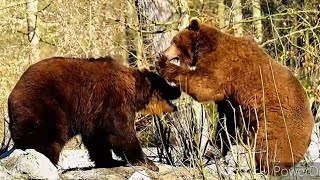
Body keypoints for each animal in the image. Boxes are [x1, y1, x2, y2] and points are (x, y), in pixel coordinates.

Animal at [7, 55, 181, 171]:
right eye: (166, 85)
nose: (178, 89)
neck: (134, 91)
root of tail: (13, 93)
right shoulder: (114, 100)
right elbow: (120, 133)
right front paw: (148, 162)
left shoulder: (94, 112)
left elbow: (97, 137)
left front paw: (110, 161)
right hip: (46, 106)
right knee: (46, 138)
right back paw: (47, 162)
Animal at [156, 17, 316, 175]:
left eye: (173, 41)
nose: (162, 52)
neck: (204, 47)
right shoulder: (230, 98)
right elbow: (226, 122)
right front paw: (214, 150)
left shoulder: (222, 64)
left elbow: (204, 84)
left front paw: (162, 65)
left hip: (278, 122)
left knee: (269, 145)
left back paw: (264, 167)